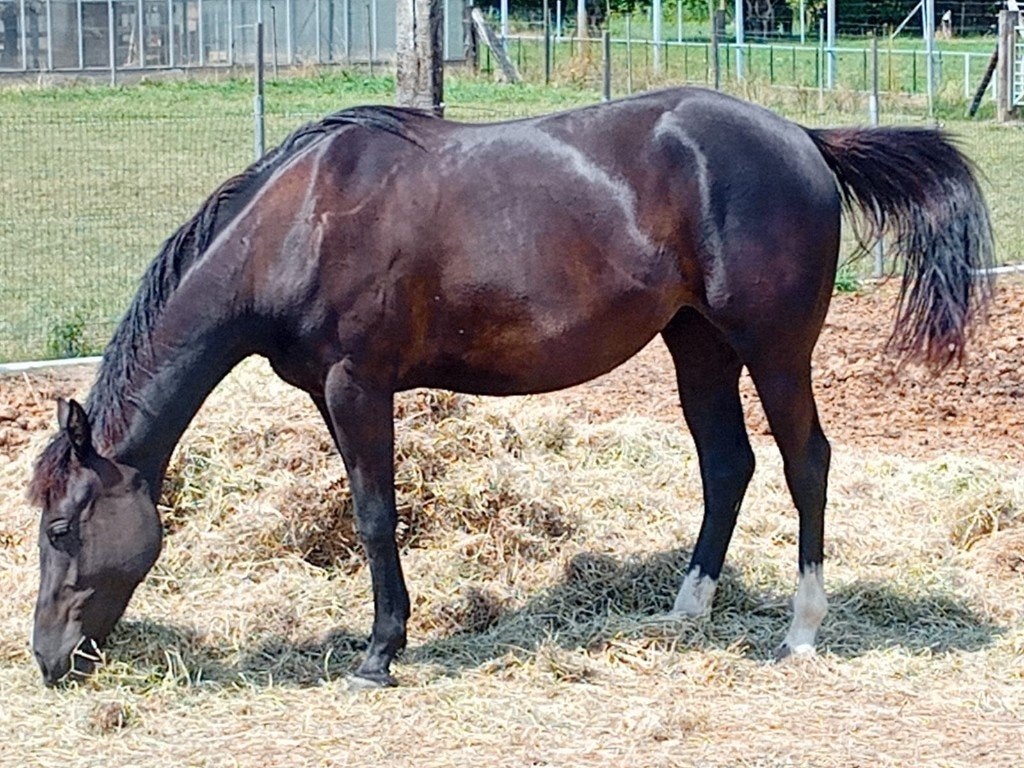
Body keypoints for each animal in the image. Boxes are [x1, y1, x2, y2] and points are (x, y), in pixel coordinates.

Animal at [28, 87, 994, 688]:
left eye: (62, 528)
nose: (48, 659)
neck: (299, 222)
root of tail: (804, 140)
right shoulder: (328, 395)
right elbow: (367, 510)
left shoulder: (357, 385)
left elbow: (375, 515)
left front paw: (380, 652)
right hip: (699, 348)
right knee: (728, 466)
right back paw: (685, 612)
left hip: (776, 350)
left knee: (806, 464)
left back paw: (801, 632)